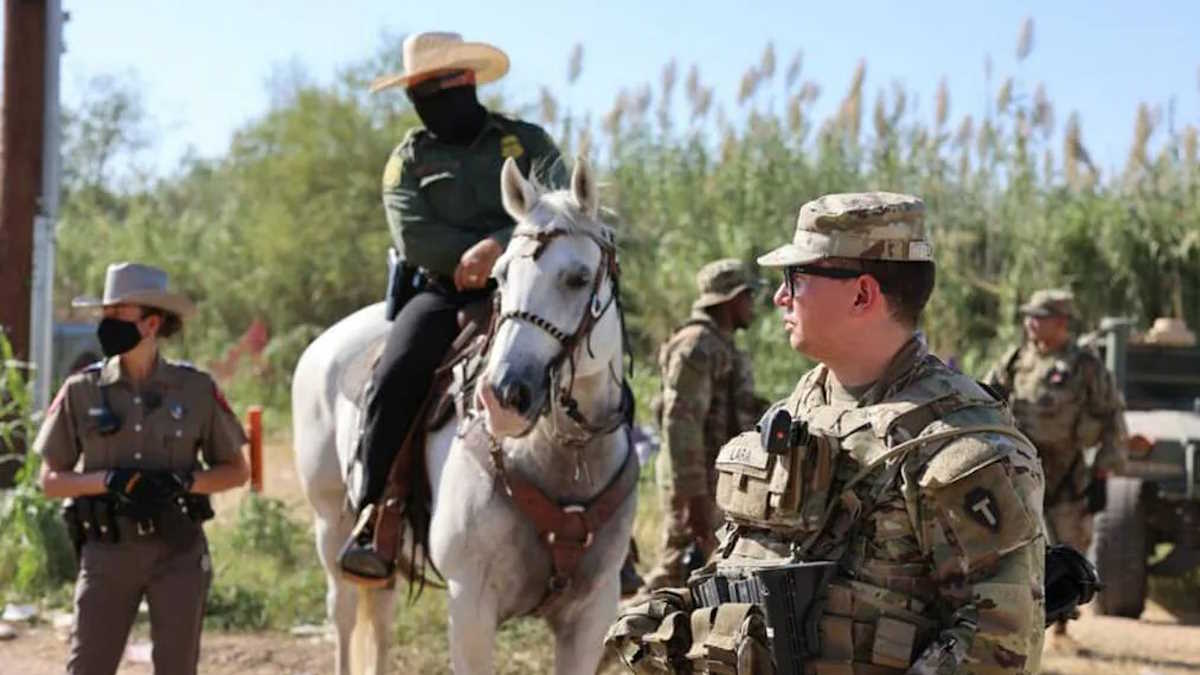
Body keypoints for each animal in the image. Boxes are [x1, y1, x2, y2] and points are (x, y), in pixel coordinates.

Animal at [291, 157, 638, 672]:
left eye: (577, 278)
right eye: (500, 276)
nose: (504, 394)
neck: (561, 460)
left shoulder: (591, 613)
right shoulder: (470, 605)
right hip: (329, 522)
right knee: (345, 615)